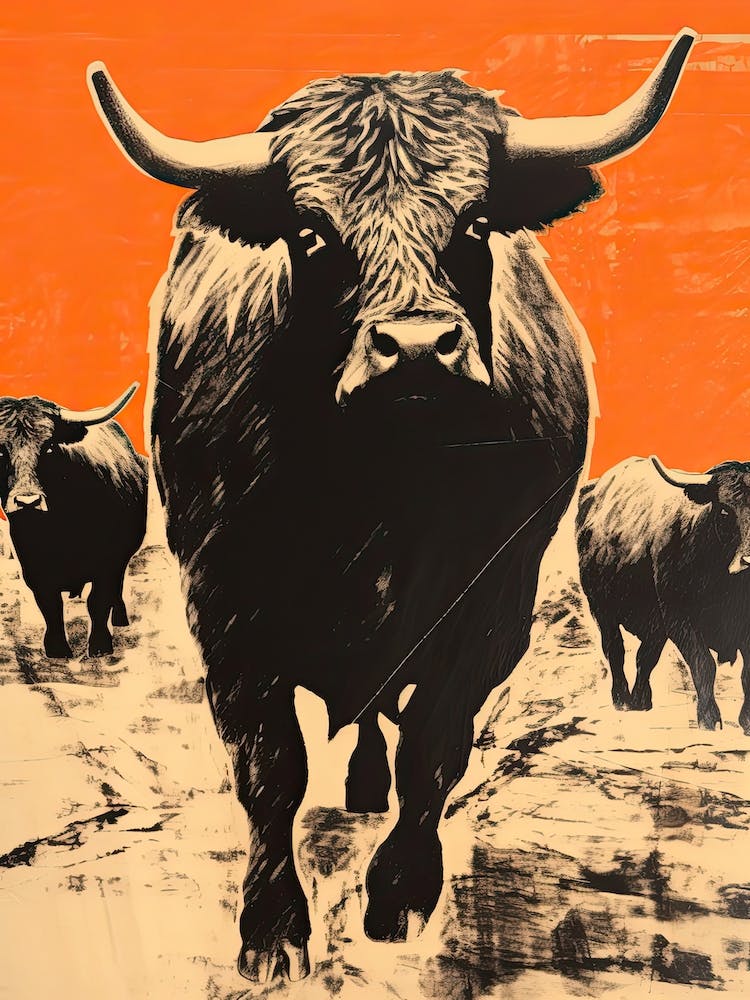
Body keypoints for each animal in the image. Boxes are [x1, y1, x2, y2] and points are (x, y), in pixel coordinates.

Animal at [0, 385, 147, 659]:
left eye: (48, 447)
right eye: (0, 450)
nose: (28, 501)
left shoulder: (109, 561)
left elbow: (98, 601)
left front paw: (100, 645)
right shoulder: (34, 567)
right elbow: (50, 605)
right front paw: (57, 648)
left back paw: (120, 618)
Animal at [88, 29, 697, 982]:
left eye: (475, 222)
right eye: (311, 230)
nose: (416, 348)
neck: (379, 493)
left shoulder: (491, 606)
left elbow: (433, 750)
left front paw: (401, 896)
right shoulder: (228, 610)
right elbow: (271, 770)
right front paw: (272, 929)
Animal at [576, 454, 750, 733]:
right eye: (724, 510)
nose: (748, 561)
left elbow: (747, 674)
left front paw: (746, 721)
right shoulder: (679, 617)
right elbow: (703, 664)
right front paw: (709, 719)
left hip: (653, 621)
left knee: (645, 656)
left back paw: (640, 700)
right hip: (602, 609)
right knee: (615, 650)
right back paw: (622, 700)